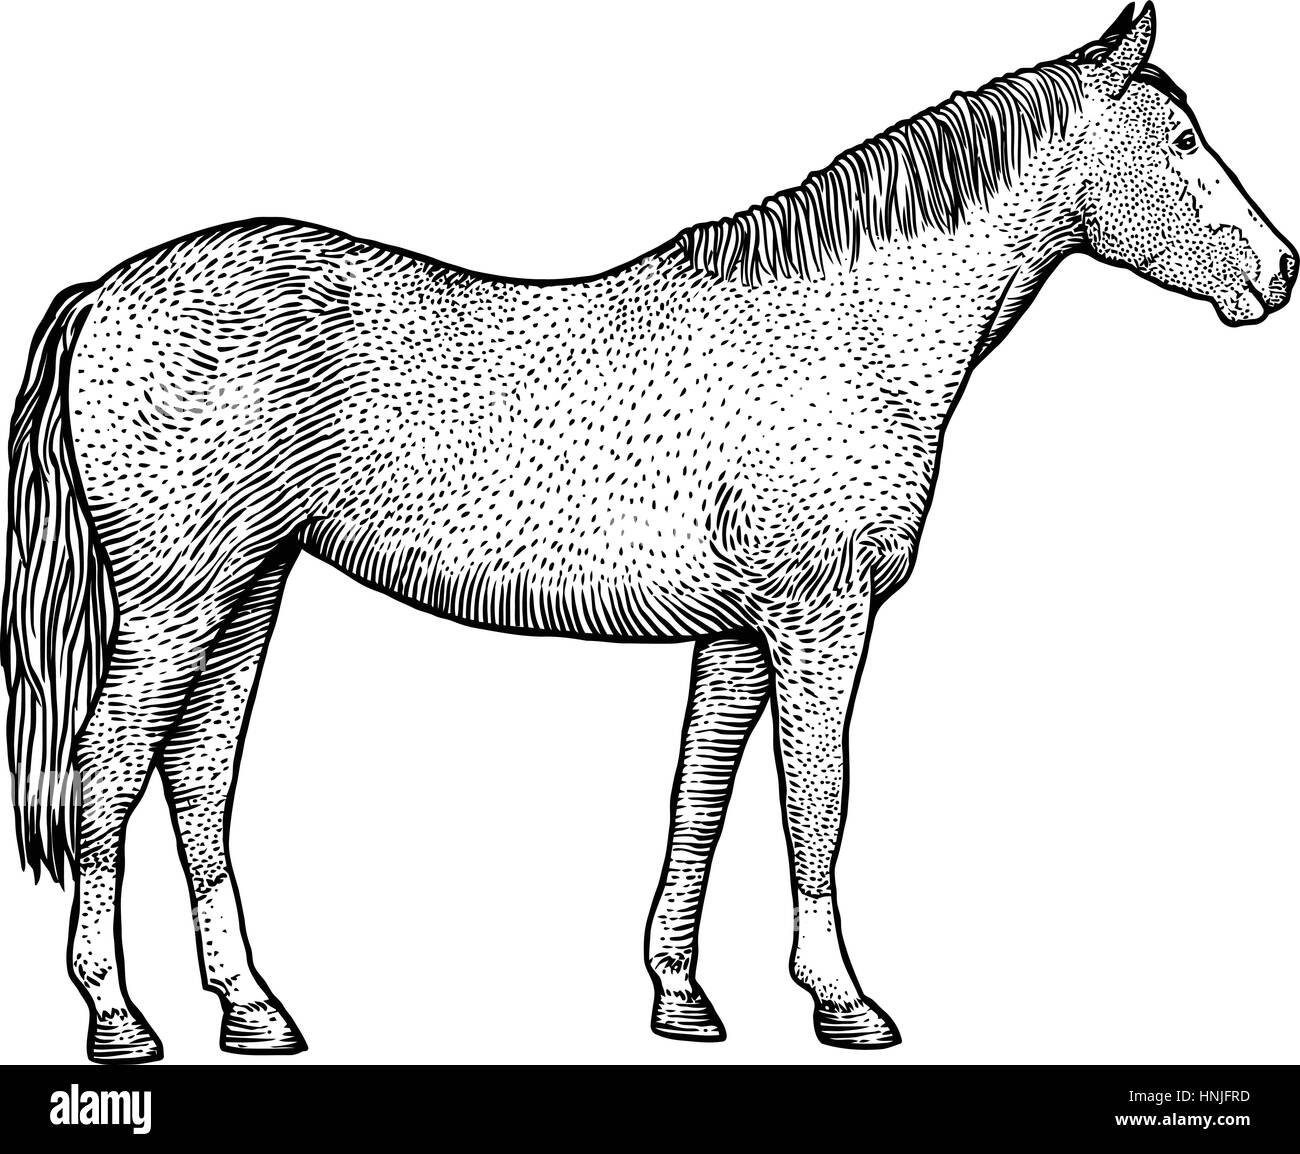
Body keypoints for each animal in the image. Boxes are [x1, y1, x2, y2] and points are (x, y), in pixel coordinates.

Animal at [4, 4, 1293, 1062]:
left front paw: (679, 995)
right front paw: (843, 1001)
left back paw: (253, 1009)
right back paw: (117, 1019)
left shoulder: (736, 634)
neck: (844, 328)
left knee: (196, 776)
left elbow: (700, 797)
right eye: (1182, 140)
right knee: (106, 772)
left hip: (249, 585)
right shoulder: (819, 619)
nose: (1279, 272)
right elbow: (815, 801)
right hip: (176, 601)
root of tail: (102, 291)